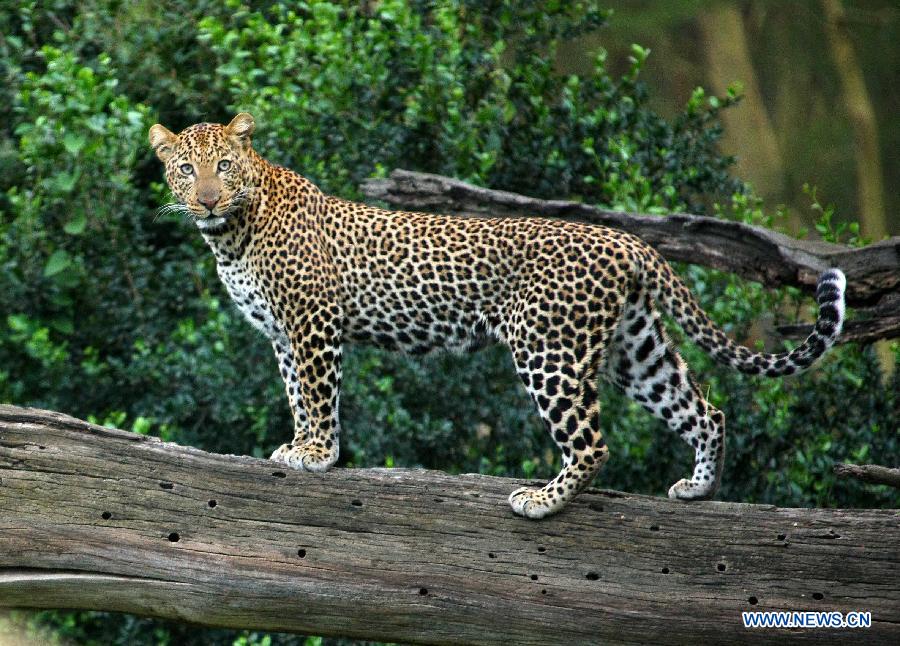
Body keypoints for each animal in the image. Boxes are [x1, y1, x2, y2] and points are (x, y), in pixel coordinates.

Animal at [148, 112, 844, 520]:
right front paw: (298, 446)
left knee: (593, 441)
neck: (230, 232)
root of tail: (628, 239)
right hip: (635, 348)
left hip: (547, 349)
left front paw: (317, 453)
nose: (205, 198)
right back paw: (697, 488)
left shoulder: (312, 322)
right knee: (705, 410)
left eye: (223, 166)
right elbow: (297, 393)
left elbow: (318, 395)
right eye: (186, 169)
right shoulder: (283, 334)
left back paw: (542, 500)